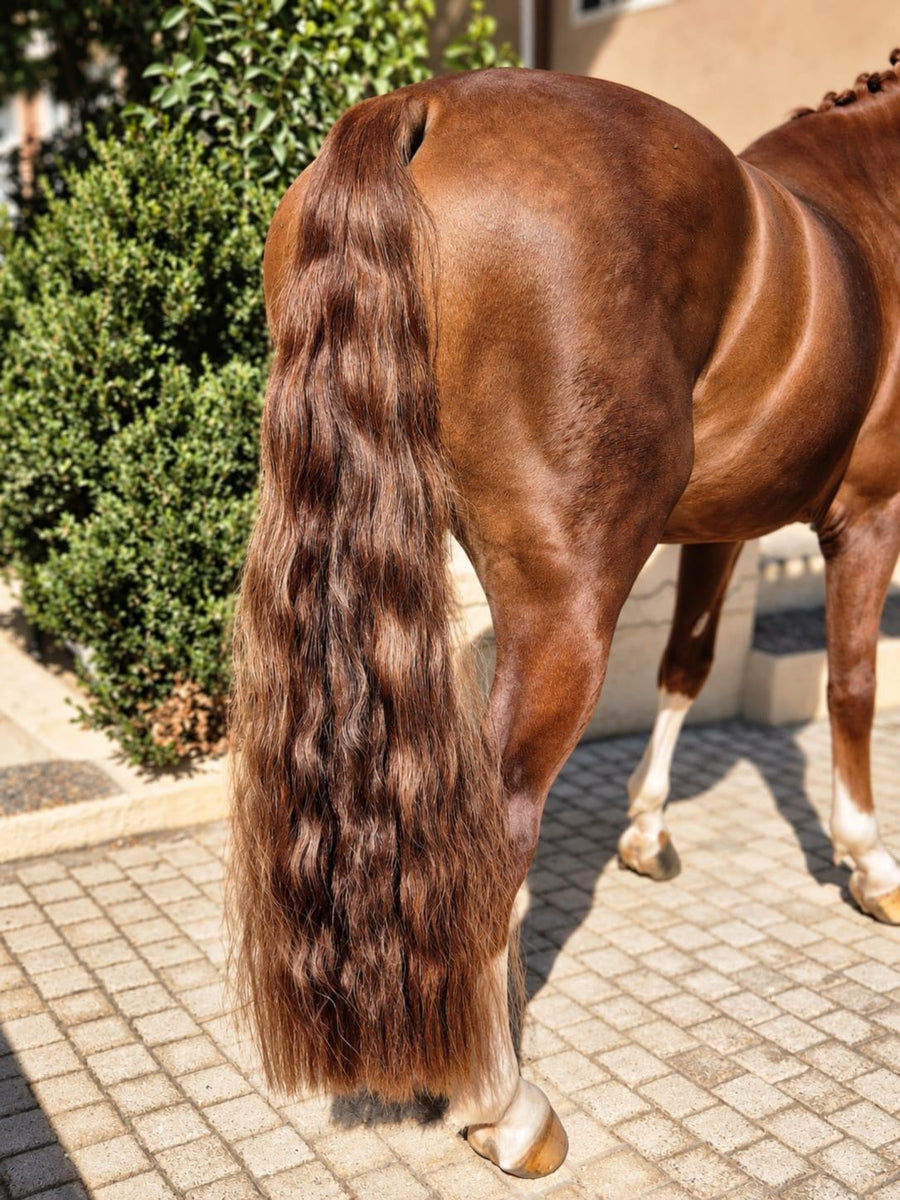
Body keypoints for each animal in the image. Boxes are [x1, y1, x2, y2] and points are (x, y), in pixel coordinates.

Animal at [229, 55, 900, 1179]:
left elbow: (688, 663)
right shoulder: (869, 514)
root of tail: (418, 107)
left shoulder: (719, 527)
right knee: (491, 830)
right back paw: (505, 1105)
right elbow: (851, 686)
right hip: (568, 604)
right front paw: (870, 862)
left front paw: (647, 828)